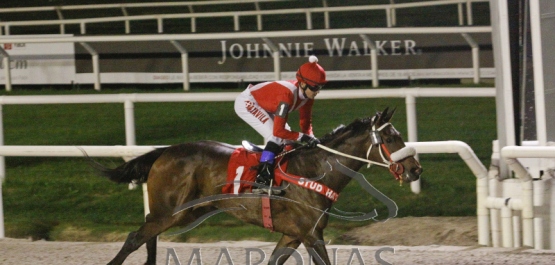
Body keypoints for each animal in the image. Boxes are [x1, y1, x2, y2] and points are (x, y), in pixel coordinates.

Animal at [99, 107, 422, 264]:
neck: (314, 171)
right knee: (134, 237)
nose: (415, 169)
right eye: (390, 137)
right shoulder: (311, 234)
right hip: (172, 212)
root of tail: (164, 152)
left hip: (183, 211)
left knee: (146, 233)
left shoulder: (294, 234)